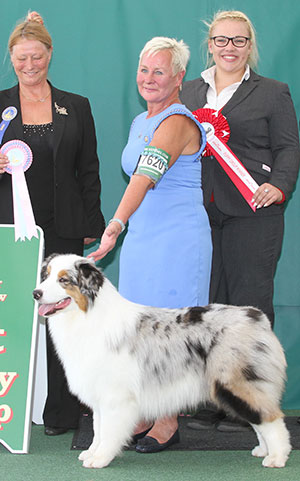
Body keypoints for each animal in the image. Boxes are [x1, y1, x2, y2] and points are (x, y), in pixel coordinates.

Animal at [32, 253, 290, 466]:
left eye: (64, 280)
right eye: (46, 276)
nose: (36, 293)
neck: (87, 316)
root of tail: (256, 316)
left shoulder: (115, 396)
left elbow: (109, 431)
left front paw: (100, 458)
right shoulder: (98, 394)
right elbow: (98, 428)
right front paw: (92, 452)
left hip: (236, 384)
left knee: (271, 418)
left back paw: (277, 457)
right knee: (259, 418)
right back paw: (263, 450)